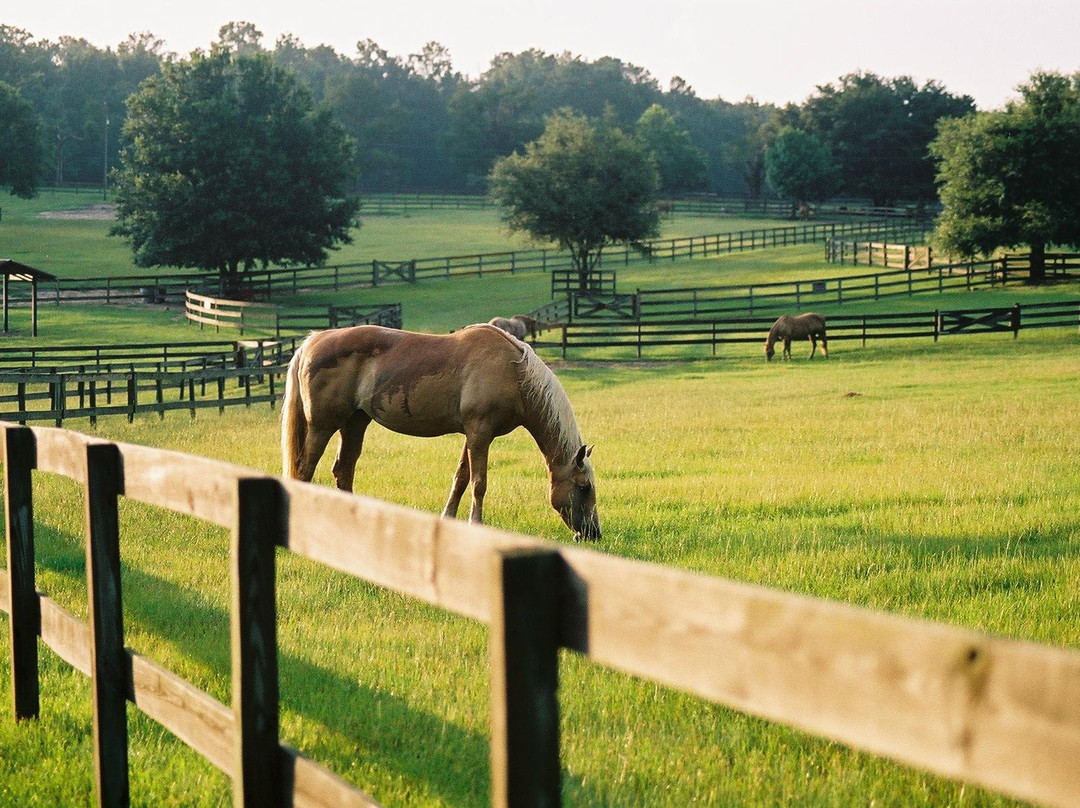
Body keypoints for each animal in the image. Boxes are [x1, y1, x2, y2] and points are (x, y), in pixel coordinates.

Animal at [280, 324, 600, 540]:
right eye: (584, 487)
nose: (593, 534)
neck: (513, 371)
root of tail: (311, 343)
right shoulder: (480, 432)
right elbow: (479, 482)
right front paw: (475, 524)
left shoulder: (473, 435)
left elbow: (461, 478)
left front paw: (449, 519)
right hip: (322, 427)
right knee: (305, 469)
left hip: (355, 422)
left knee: (343, 470)